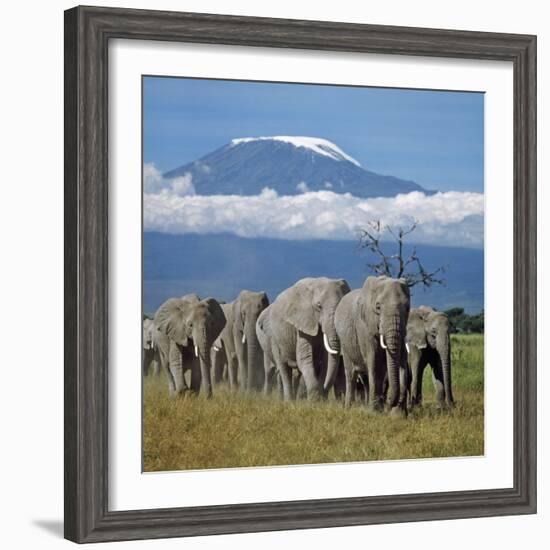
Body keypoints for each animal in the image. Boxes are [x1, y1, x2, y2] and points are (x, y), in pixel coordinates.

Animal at [334, 278, 412, 416]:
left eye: (407, 308)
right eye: (378, 307)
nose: (389, 401)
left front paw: (398, 415)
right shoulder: (364, 326)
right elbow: (374, 362)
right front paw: (376, 412)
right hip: (344, 342)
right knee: (351, 374)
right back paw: (349, 408)